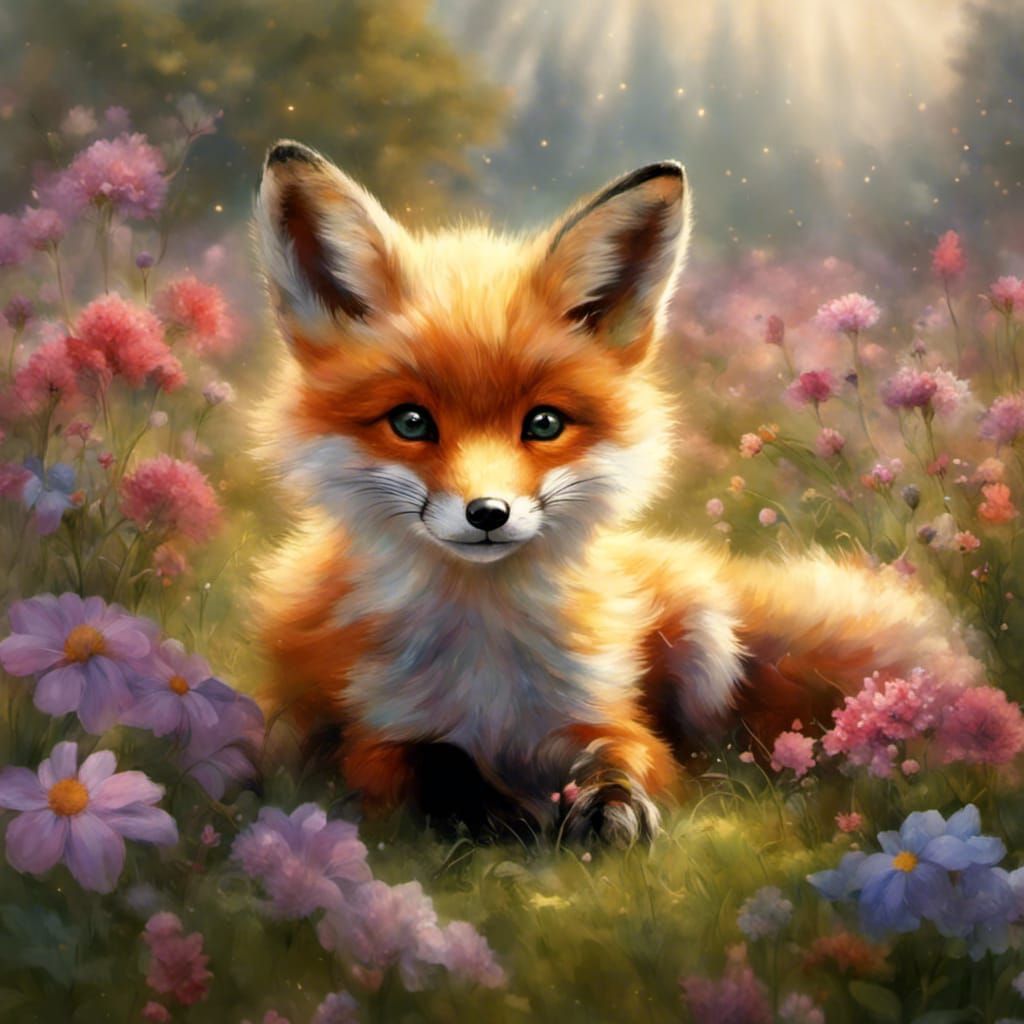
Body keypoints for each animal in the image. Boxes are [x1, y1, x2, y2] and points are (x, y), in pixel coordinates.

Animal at [251, 140, 980, 847]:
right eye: (410, 422)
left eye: (544, 423)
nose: (489, 514)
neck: (487, 659)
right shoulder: (360, 736)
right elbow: (424, 765)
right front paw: (499, 813)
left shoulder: (607, 714)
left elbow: (627, 755)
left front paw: (610, 805)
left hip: (709, 635)